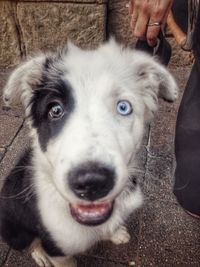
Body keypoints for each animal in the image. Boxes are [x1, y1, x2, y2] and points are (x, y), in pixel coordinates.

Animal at [0, 39, 178, 267]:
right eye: (55, 110)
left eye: (123, 107)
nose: (92, 182)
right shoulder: (58, 249)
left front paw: (116, 233)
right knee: (30, 242)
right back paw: (39, 254)